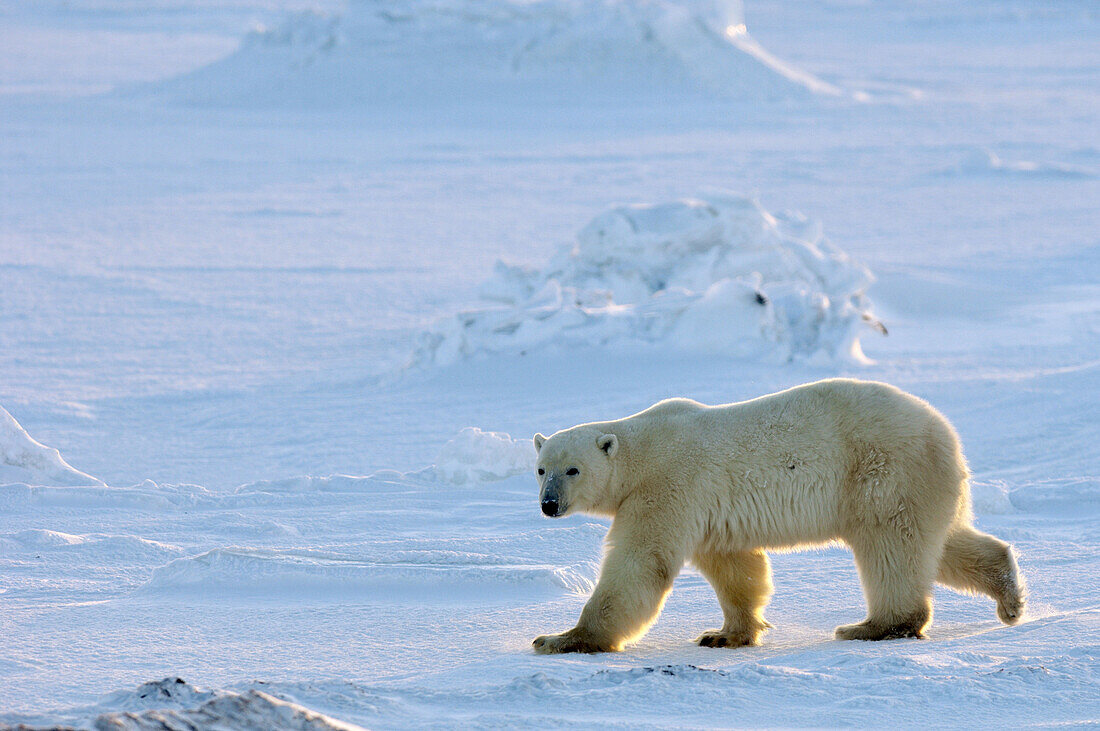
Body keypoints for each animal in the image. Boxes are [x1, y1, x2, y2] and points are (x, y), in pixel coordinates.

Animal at [528, 378, 1025, 650]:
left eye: (572, 469)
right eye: (540, 469)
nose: (549, 504)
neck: (644, 449)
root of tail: (946, 434)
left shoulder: (668, 488)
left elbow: (638, 565)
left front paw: (560, 639)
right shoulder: (706, 509)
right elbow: (736, 568)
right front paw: (726, 634)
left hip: (884, 472)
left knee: (891, 546)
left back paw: (872, 626)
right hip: (923, 485)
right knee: (942, 543)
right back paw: (1009, 596)